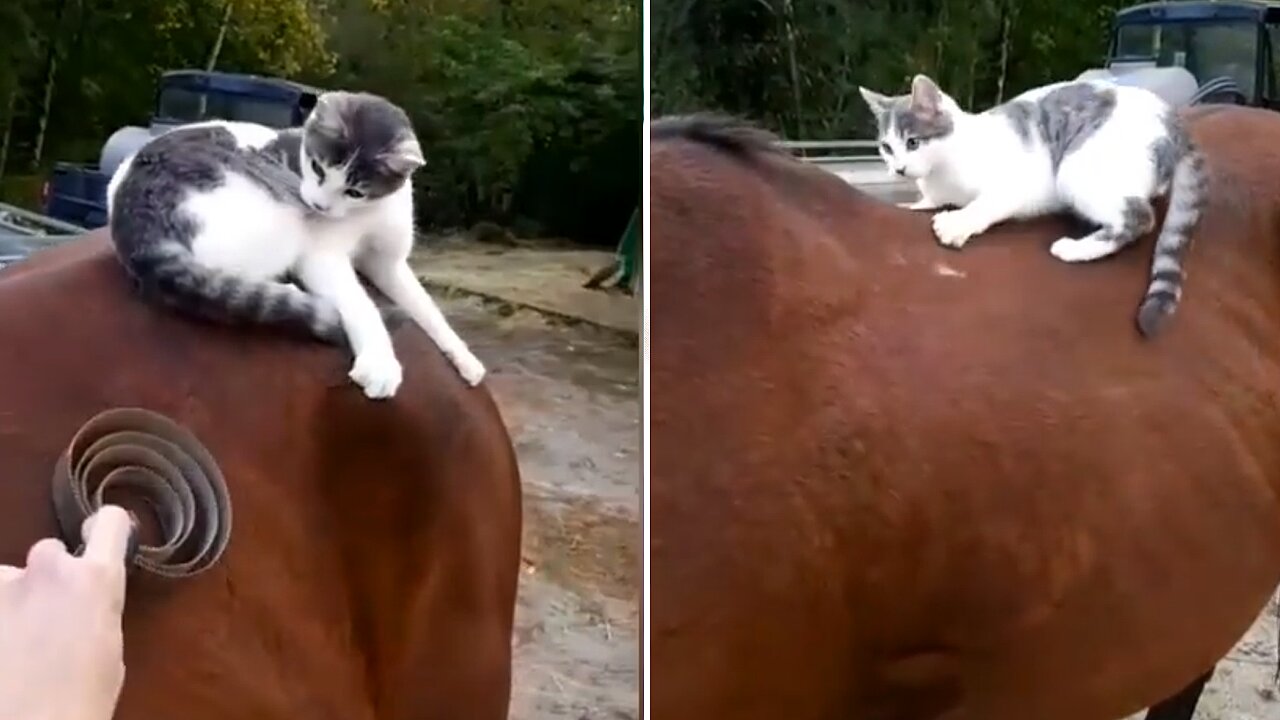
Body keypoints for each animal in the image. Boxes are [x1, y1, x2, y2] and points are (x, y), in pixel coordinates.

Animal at [103, 89, 483, 397]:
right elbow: (362, 305)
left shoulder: (387, 263)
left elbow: (427, 308)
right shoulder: (322, 256)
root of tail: (134, 223)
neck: (370, 210)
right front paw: (380, 363)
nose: (318, 206)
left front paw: (465, 358)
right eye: (317, 169)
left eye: (355, 191)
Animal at [855, 73, 1203, 335]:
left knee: (1140, 217)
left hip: (1074, 171)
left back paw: (1075, 248)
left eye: (913, 142)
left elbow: (987, 203)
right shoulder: (934, 196)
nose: (899, 169)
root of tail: (1175, 123)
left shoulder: (1018, 185)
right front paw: (912, 208)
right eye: (887, 147)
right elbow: (925, 204)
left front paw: (957, 222)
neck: (942, 172)